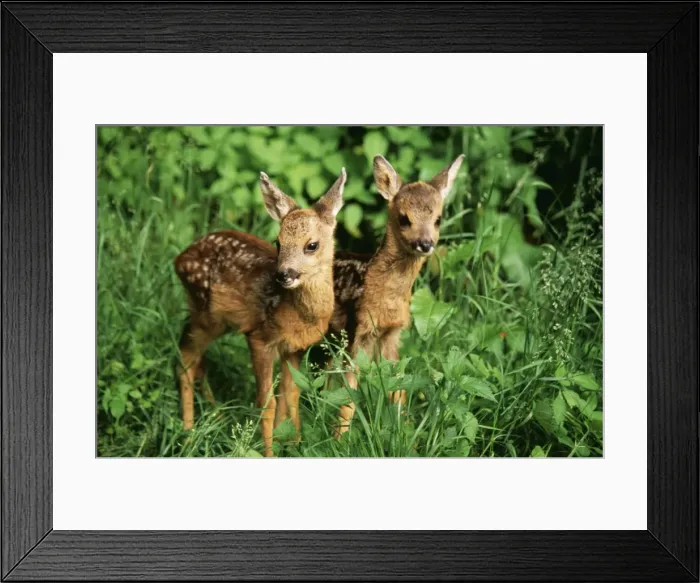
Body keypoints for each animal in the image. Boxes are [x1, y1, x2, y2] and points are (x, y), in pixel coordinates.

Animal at [174, 169, 346, 456]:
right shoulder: (259, 338)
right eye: (278, 242)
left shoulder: (294, 348)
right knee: (185, 358)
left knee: (197, 360)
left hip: (213, 319)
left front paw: (295, 445)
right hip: (205, 313)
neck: (301, 315)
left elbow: (291, 395)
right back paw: (188, 434)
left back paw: (215, 416)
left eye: (312, 245)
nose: (283, 274)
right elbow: (267, 403)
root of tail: (178, 259)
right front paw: (270, 452)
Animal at [330, 154, 464, 438]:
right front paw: (339, 441)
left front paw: (405, 434)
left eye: (438, 219)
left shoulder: (392, 334)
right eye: (404, 218)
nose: (426, 243)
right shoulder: (358, 331)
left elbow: (398, 388)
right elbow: (348, 397)